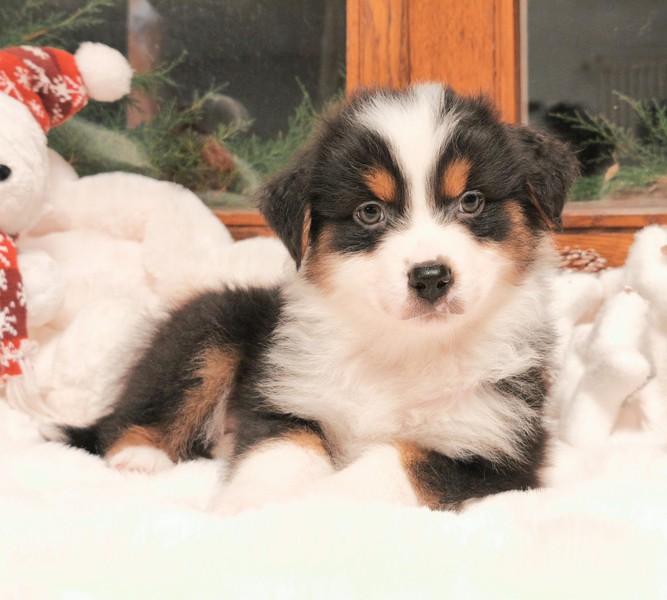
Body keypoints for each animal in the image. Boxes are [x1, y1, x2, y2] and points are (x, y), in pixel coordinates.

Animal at [61, 83, 578, 513]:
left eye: (471, 201)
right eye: (370, 211)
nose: (431, 277)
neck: (402, 349)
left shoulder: (498, 448)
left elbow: (395, 462)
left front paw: (319, 505)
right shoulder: (288, 398)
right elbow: (281, 450)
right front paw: (249, 507)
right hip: (210, 325)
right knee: (125, 420)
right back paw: (139, 458)